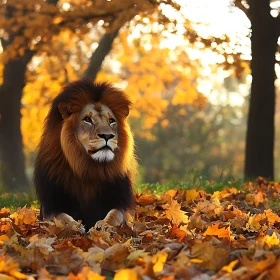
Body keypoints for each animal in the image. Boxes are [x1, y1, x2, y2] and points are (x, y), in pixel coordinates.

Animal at [34, 77, 138, 231]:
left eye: (111, 121)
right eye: (87, 119)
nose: (107, 135)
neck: (90, 168)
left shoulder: (120, 203)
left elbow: (115, 214)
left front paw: (105, 225)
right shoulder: (51, 207)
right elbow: (61, 217)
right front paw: (75, 225)